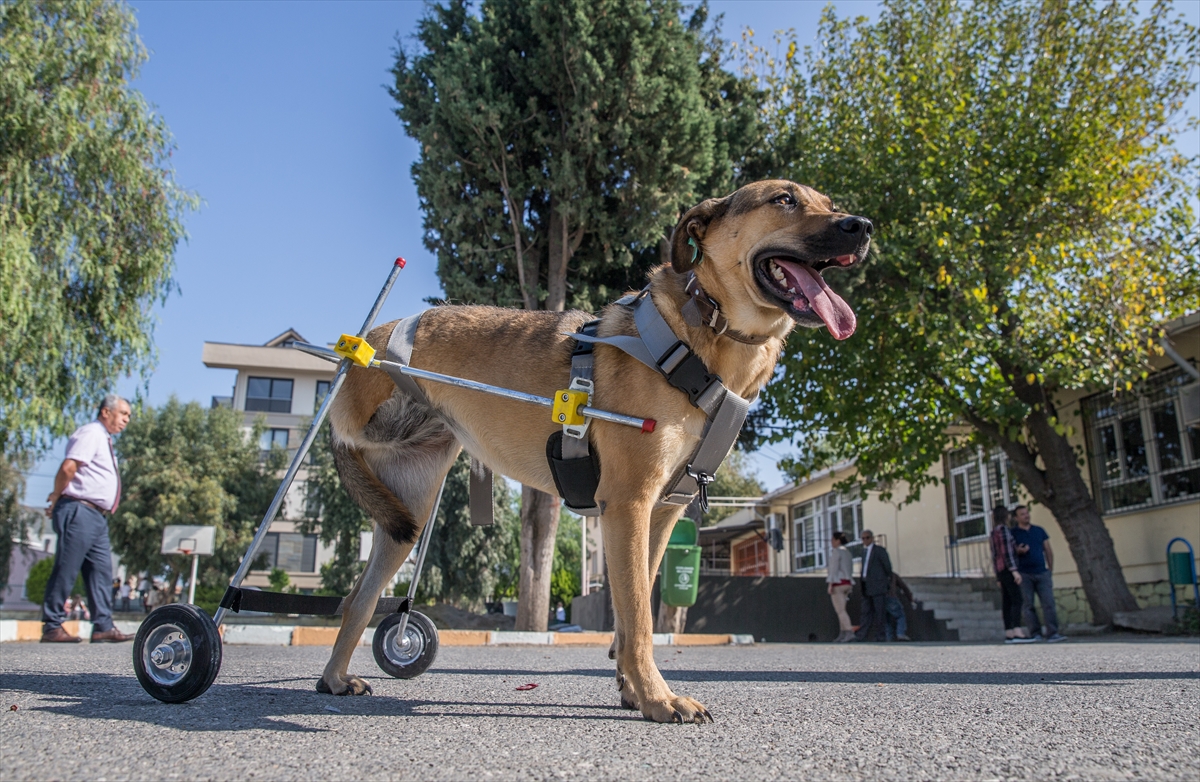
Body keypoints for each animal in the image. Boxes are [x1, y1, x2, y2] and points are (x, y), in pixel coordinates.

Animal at [314, 179, 868, 724]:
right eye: (784, 199)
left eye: (830, 203)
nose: (861, 226)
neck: (705, 330)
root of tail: (374, 333)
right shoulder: (629, 505)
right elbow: (639, 619)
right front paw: (658, 698)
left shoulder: (660, 514)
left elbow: (630, 612)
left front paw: (633, 691)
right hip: (373, 439)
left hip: (405, 515)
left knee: (358, 598)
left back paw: (335, 678)